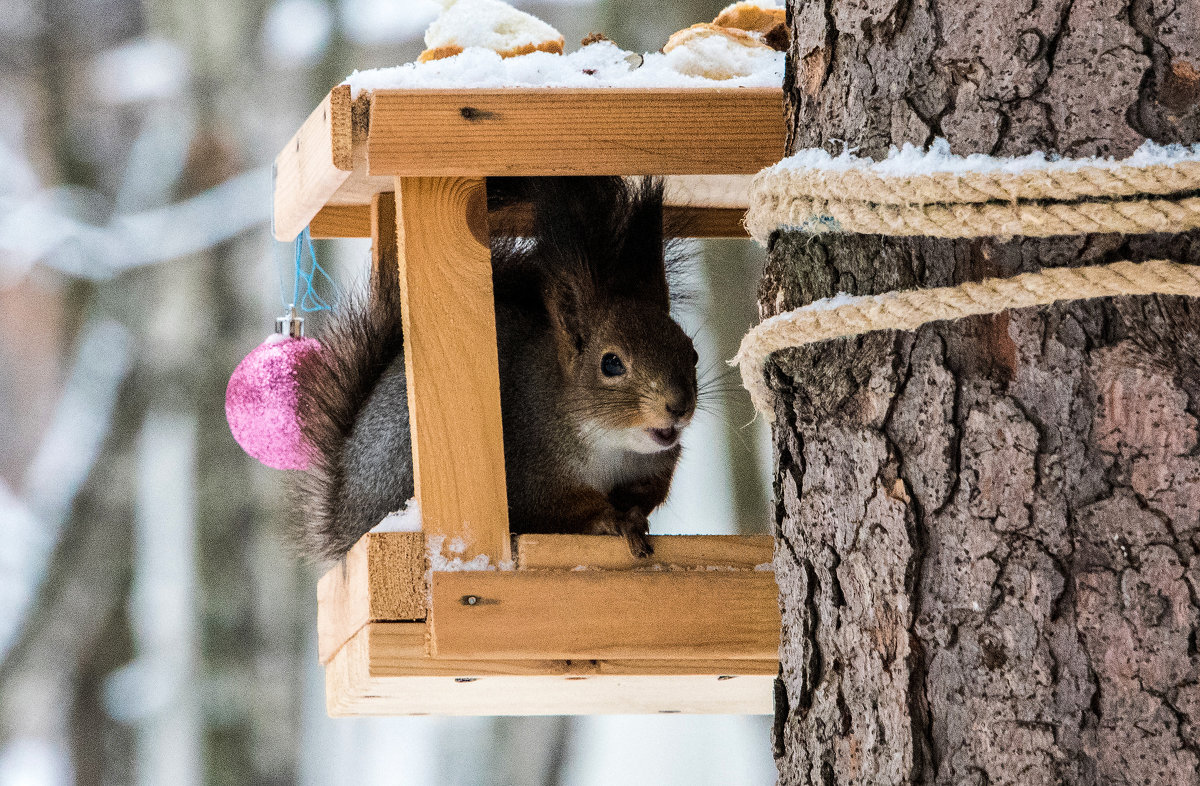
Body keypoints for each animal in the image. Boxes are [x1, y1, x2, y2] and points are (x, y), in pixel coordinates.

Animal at [294, 176, 700, 566]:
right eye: (611, 363)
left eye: (692, 353)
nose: (678, 406)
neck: (613, 444)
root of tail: (347, 519)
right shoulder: (530, 468)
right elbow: (558, 509)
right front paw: (613, 519)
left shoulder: (653, 465)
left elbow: (648, 491)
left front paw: (633, 511)